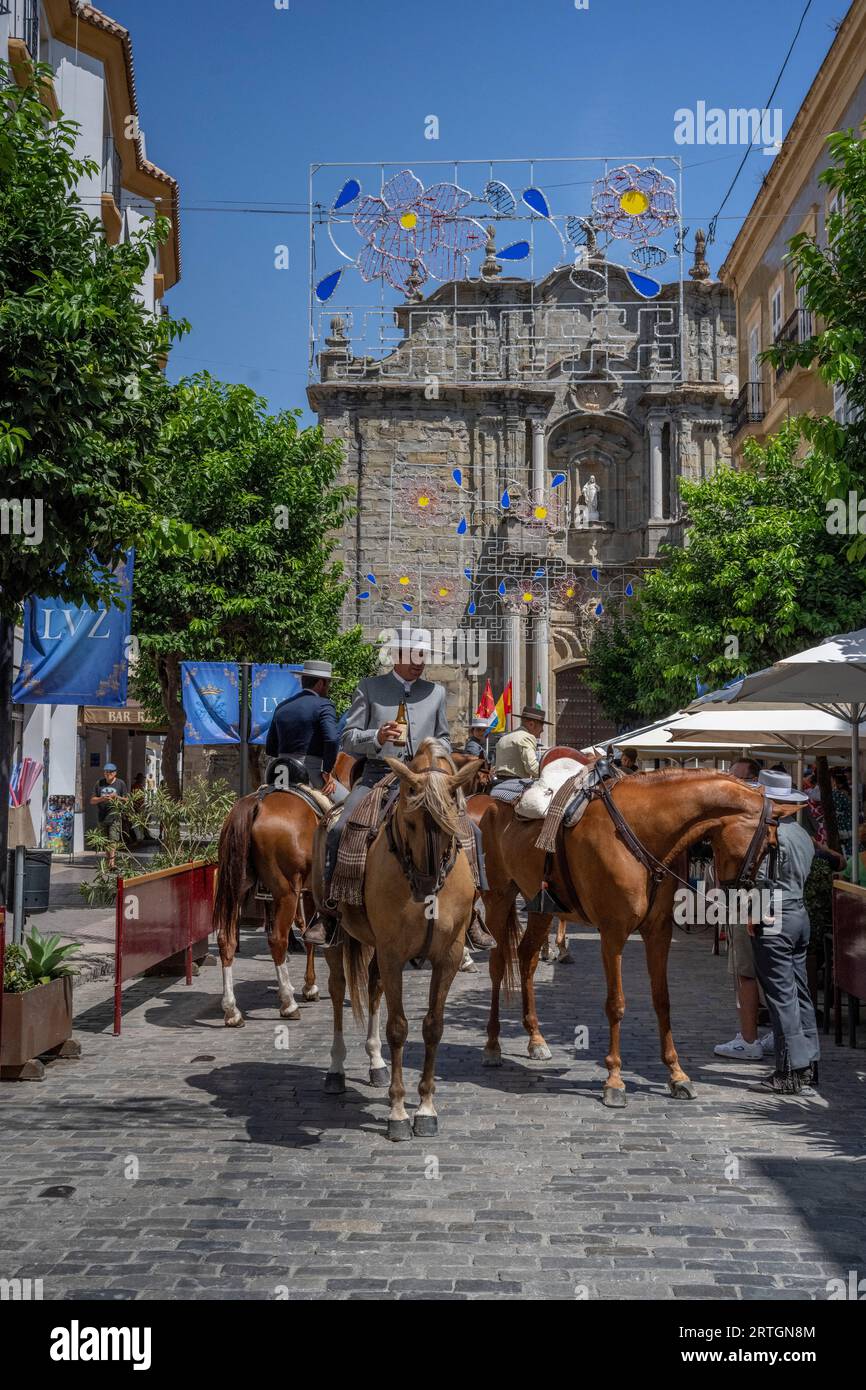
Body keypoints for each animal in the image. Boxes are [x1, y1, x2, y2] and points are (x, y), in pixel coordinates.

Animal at [215, 789, 323, 1028]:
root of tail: (258, 802)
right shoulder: (310, 891)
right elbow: (310, 937)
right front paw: (310, 986)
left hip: (236, 889)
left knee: (226, 940)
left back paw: (232, 1011)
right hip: (287, 893)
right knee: (277, 941)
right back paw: (289, 1003)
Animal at [315, 739, 483, 1139]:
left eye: (450, 823)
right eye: (408, 821)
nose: (425, 889)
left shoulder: (447, 957)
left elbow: (433, 1027)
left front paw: (425, 1108)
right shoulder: (393, 954)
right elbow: (398, 1028)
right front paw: (398, 1112)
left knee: (373, 987)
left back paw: (376, 1064)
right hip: (338, 939)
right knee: (338, 990)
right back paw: (336, 1070)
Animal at [469, 772, 778, 1106]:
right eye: (767, 846)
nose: (752, 905)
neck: (641, 833)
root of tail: (489, 800)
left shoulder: (658, 933)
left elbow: (662, 1001)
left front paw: (677, 1075)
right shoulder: (613, 934)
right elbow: (616, 1004)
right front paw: (614, 1080)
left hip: (540, 907)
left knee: (527, 958)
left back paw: (536, 1039)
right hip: (498, 899)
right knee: (499, 965)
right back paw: (492, 1045)